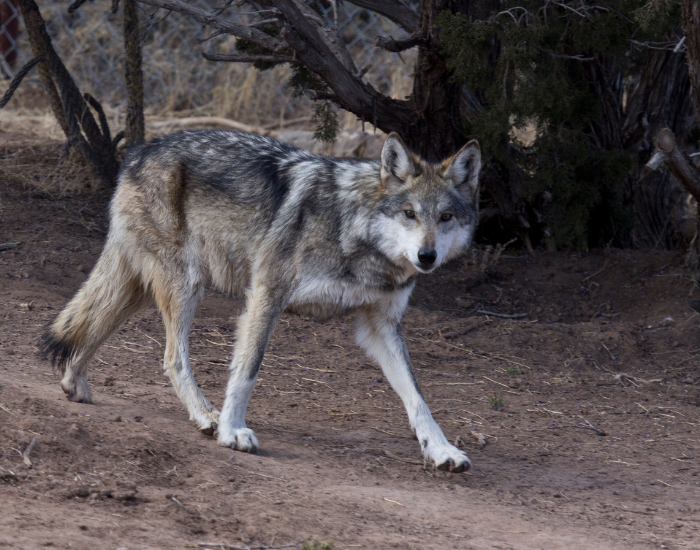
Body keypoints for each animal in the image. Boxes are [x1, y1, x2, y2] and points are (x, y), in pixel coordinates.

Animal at [41, 129, 481, 473]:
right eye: (409, 213)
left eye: (445, 217)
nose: (427, 256)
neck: (352, 230)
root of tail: (141, 151)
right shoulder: (266, 293)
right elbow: (246, 371)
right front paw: (232, 431)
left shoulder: (381, 327)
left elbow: (418, 398)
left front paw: (442, 450)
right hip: (185, 285)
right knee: (171, 358)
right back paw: (206, 415)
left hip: (143, 287)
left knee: (92, 325)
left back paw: (73, 382)